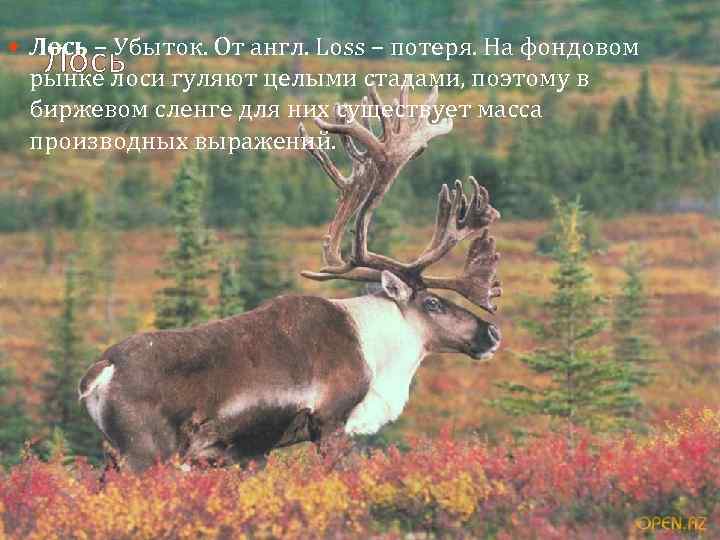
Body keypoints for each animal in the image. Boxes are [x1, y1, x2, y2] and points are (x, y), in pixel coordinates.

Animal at [78, 85, 503, 471]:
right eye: (432, 302)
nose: (492, 333)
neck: (376, 349)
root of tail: (98, 373)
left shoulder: (254, 449)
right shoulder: (330, 422)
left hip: (114, 457)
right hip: (146, 453)